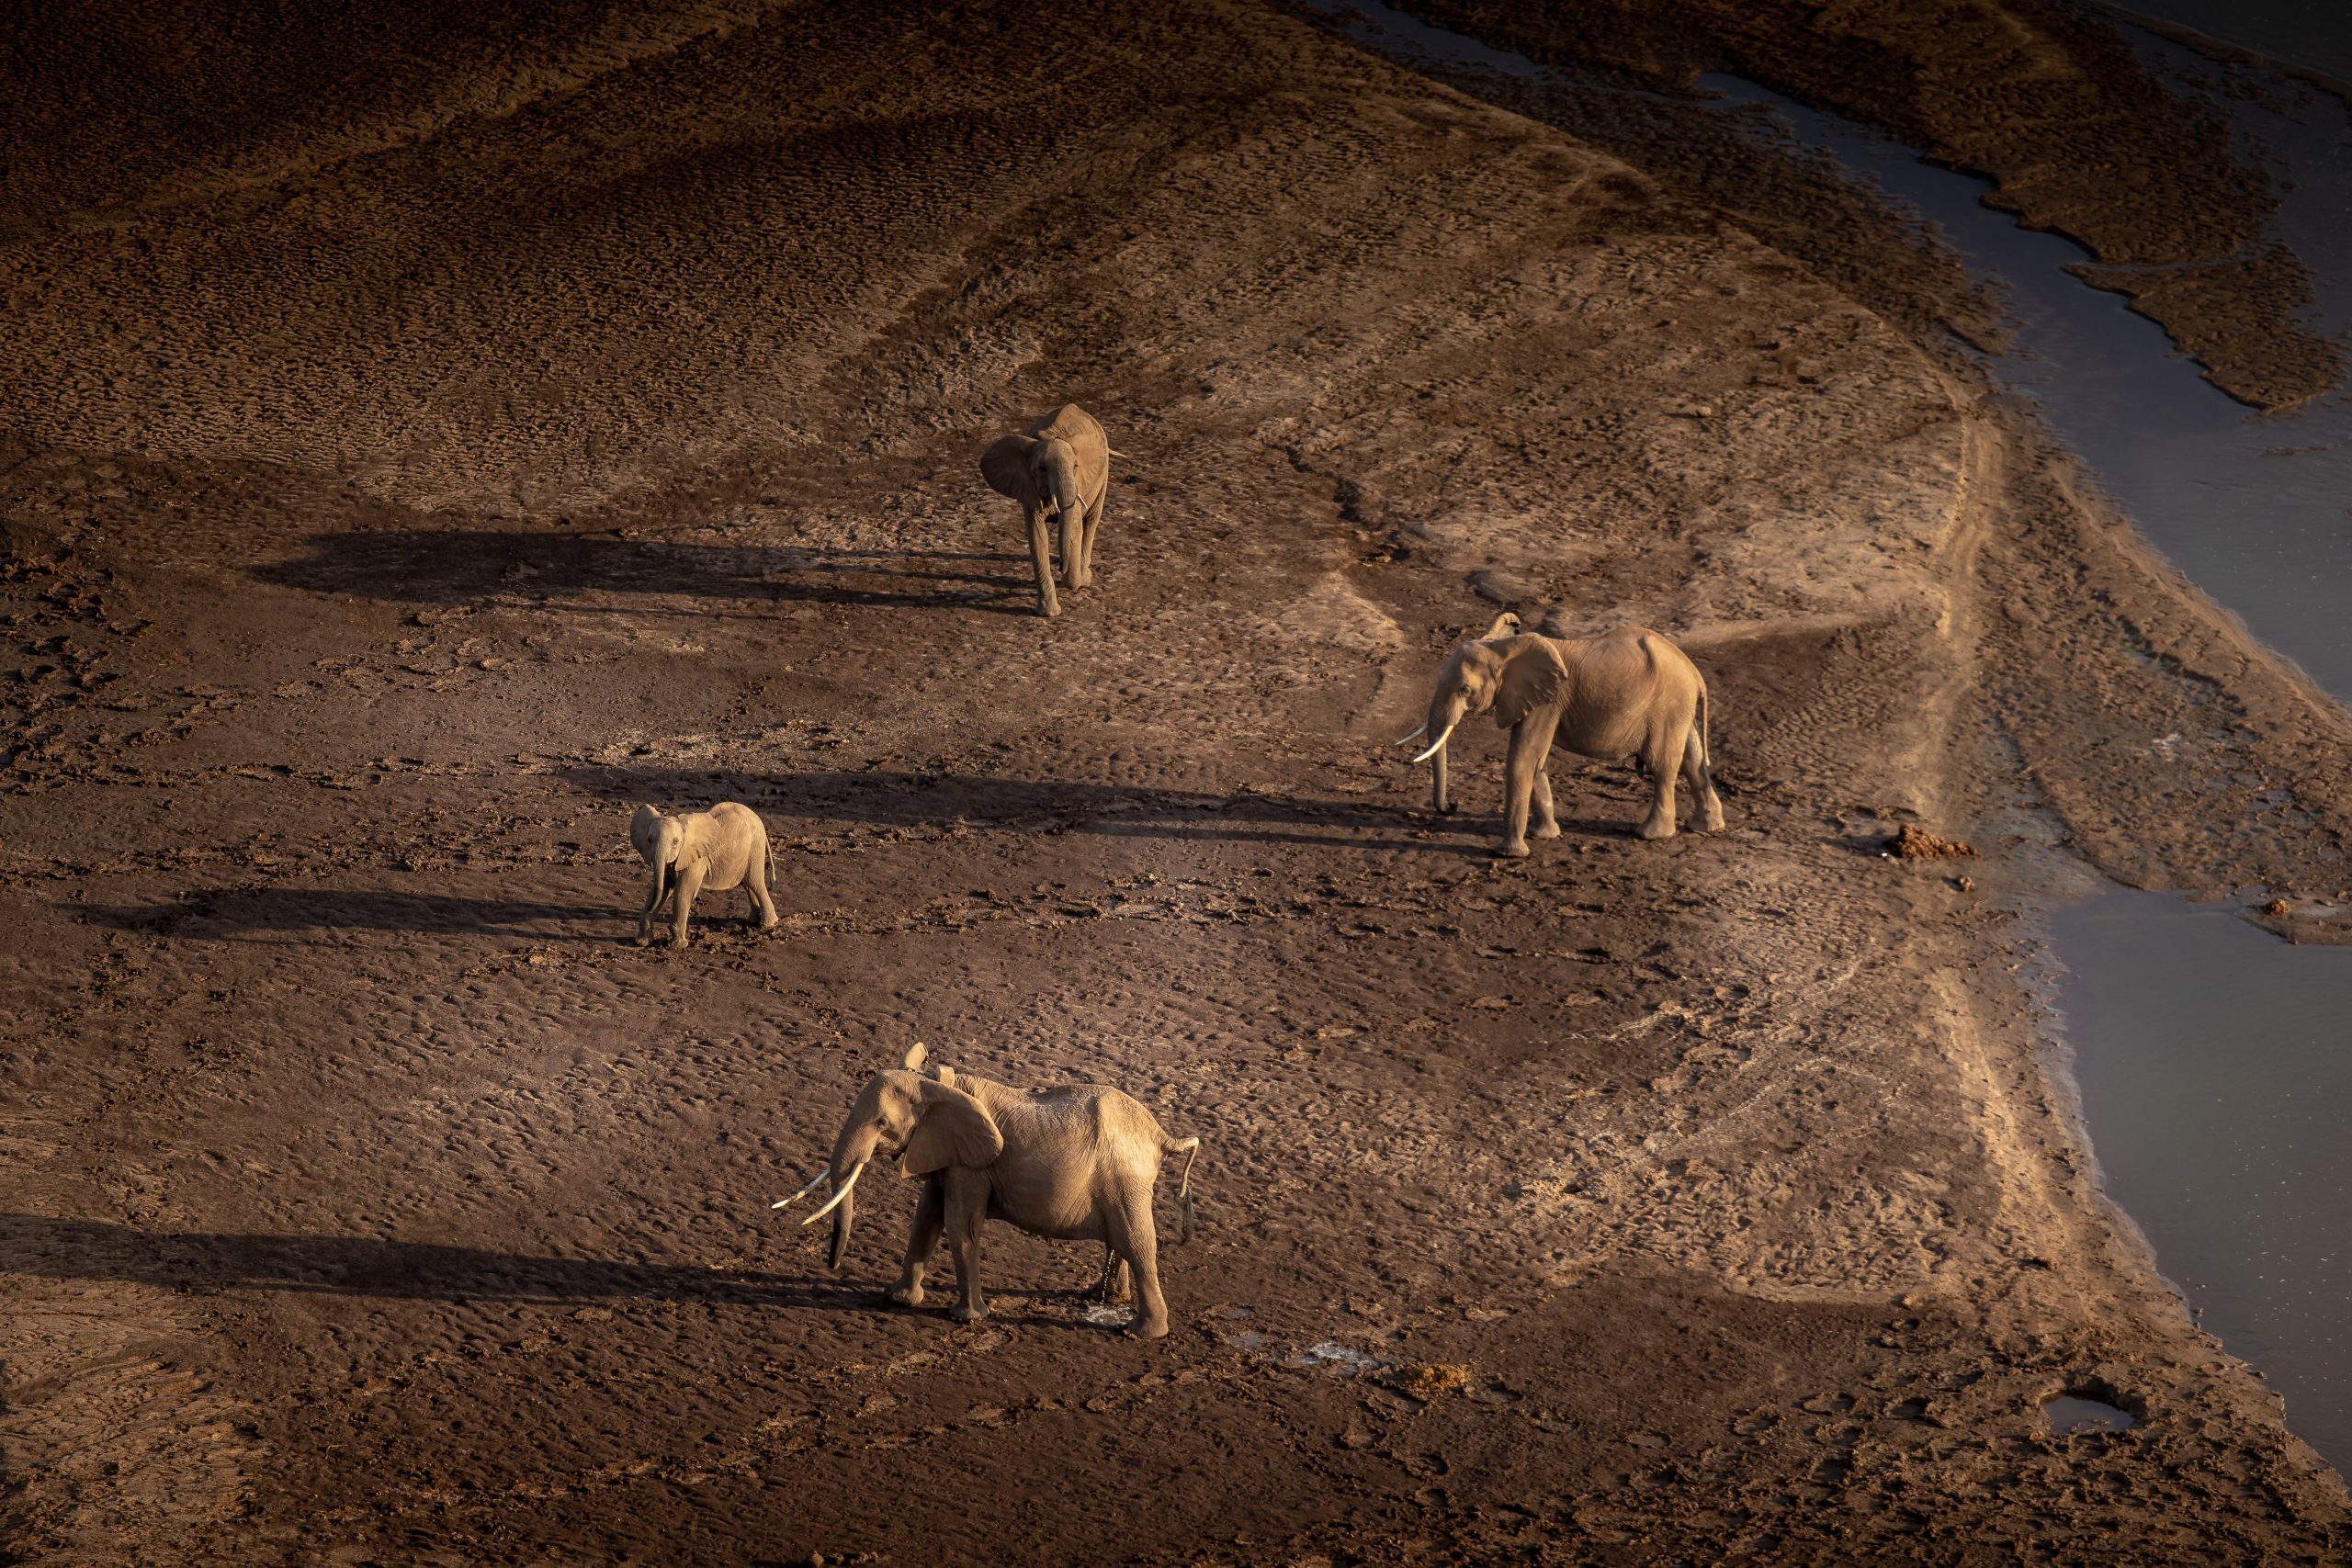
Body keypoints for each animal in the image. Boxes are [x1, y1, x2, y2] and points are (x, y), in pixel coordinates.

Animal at [628, 801, 779, 947]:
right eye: (649, 840)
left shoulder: (696, 859)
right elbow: (663, 888)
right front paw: (642, 942)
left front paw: (678, 946)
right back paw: (753, 921)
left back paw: (768, 924)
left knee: (756, 883)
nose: (649, 908)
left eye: (675, 842)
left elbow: (683, 891)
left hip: (755, 848)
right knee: (748, 885)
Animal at [774, 1042, 1201, 1339]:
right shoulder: (945, 1152)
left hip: (1126, 1178)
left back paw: (1141, 1333)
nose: (831, 1265)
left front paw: (965, 1318)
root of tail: (1160, 1134)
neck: (936, 1084)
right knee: (1122, 1239)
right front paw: (898, 1298)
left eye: (881, 1123)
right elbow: (926, 1218)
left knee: (1137, 1241)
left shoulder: (972, 1165)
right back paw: (1105, 1298)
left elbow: (959, 1223)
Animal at [980, 403, 1111, 618]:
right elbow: (1037, 536)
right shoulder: (1028, 489)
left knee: (1092, 519)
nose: (1061, 566)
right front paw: (1049, 613)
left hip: (1104, 472)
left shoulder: (1078, 485)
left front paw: (1073, 579)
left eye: (1076, 466)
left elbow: (1075, 528)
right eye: (1042, 468)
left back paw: (1085, 578)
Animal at [1396, 626, 1724, 855]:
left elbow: (1523, 758)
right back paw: (1705, 827)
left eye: (1465, 689)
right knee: (1692, 759)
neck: (1503, 648)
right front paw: (1545, 835)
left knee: (1662, 764)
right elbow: (1536, 761)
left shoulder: (1547, 702)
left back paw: (1650, 834)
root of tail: (1695, 673)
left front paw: (1509, 854)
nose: (1453, 805)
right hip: (1678, 707)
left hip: (1667, 705)